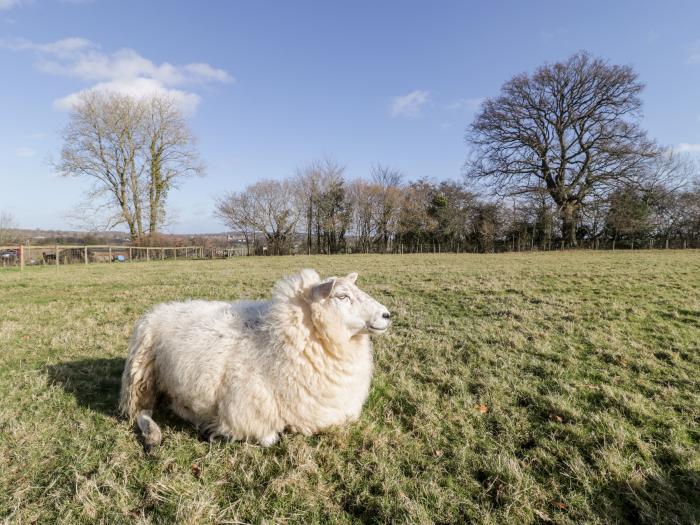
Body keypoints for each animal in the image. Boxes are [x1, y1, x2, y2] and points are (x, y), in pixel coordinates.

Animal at [118, 268, 392, 448]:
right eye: (342, 296)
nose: (387, 315)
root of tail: (158, 310)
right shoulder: (242, 411)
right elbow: (269, 438)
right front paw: (213, 432)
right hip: (141, 376)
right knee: (141, 412)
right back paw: (155, 434)